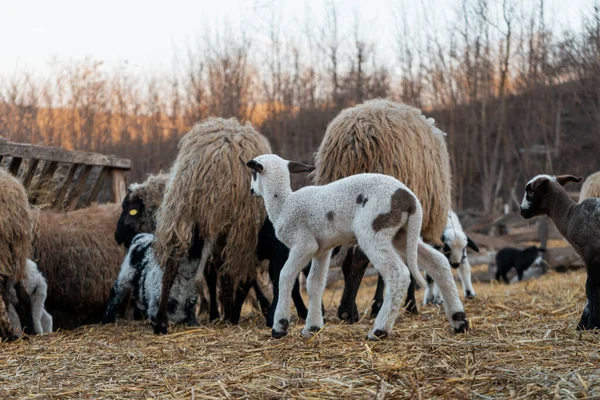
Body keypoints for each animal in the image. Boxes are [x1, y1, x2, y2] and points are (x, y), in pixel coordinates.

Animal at [152, 116, 272, 334]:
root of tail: (216, 159)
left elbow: (216, 271)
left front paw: (219, 313)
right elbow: (234, 274)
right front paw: (230, 312)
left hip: (182, 209)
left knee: (172, 264)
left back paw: (160, 322)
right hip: (238, 221)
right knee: (235, 271)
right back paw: (231, 315)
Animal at [247, 154, 468, 340]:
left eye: (253, 173)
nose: (251, 190)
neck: (283, 204)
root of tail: (409, 199)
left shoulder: (303, 244)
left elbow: (285, 277)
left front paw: (280, 326)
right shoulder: (322, 250)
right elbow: (314, 283)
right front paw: (313, 327)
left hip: (373, 231)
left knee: (399, 274)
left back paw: (379, 330)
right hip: (402, 235)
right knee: (438, 263)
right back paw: (459, 320)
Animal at [312, 98, 452, 324]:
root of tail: (354, 139)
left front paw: (378, 305)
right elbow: (408, 261)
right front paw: (409, 304)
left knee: (344, 258)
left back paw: (342, 310)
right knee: (359, 259)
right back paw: (346, 311)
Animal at [516, 173, 596, 330]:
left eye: (530, 191)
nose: (521, 210)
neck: (570, 215)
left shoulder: (591, 255)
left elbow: (591, 288)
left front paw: (590, 324)